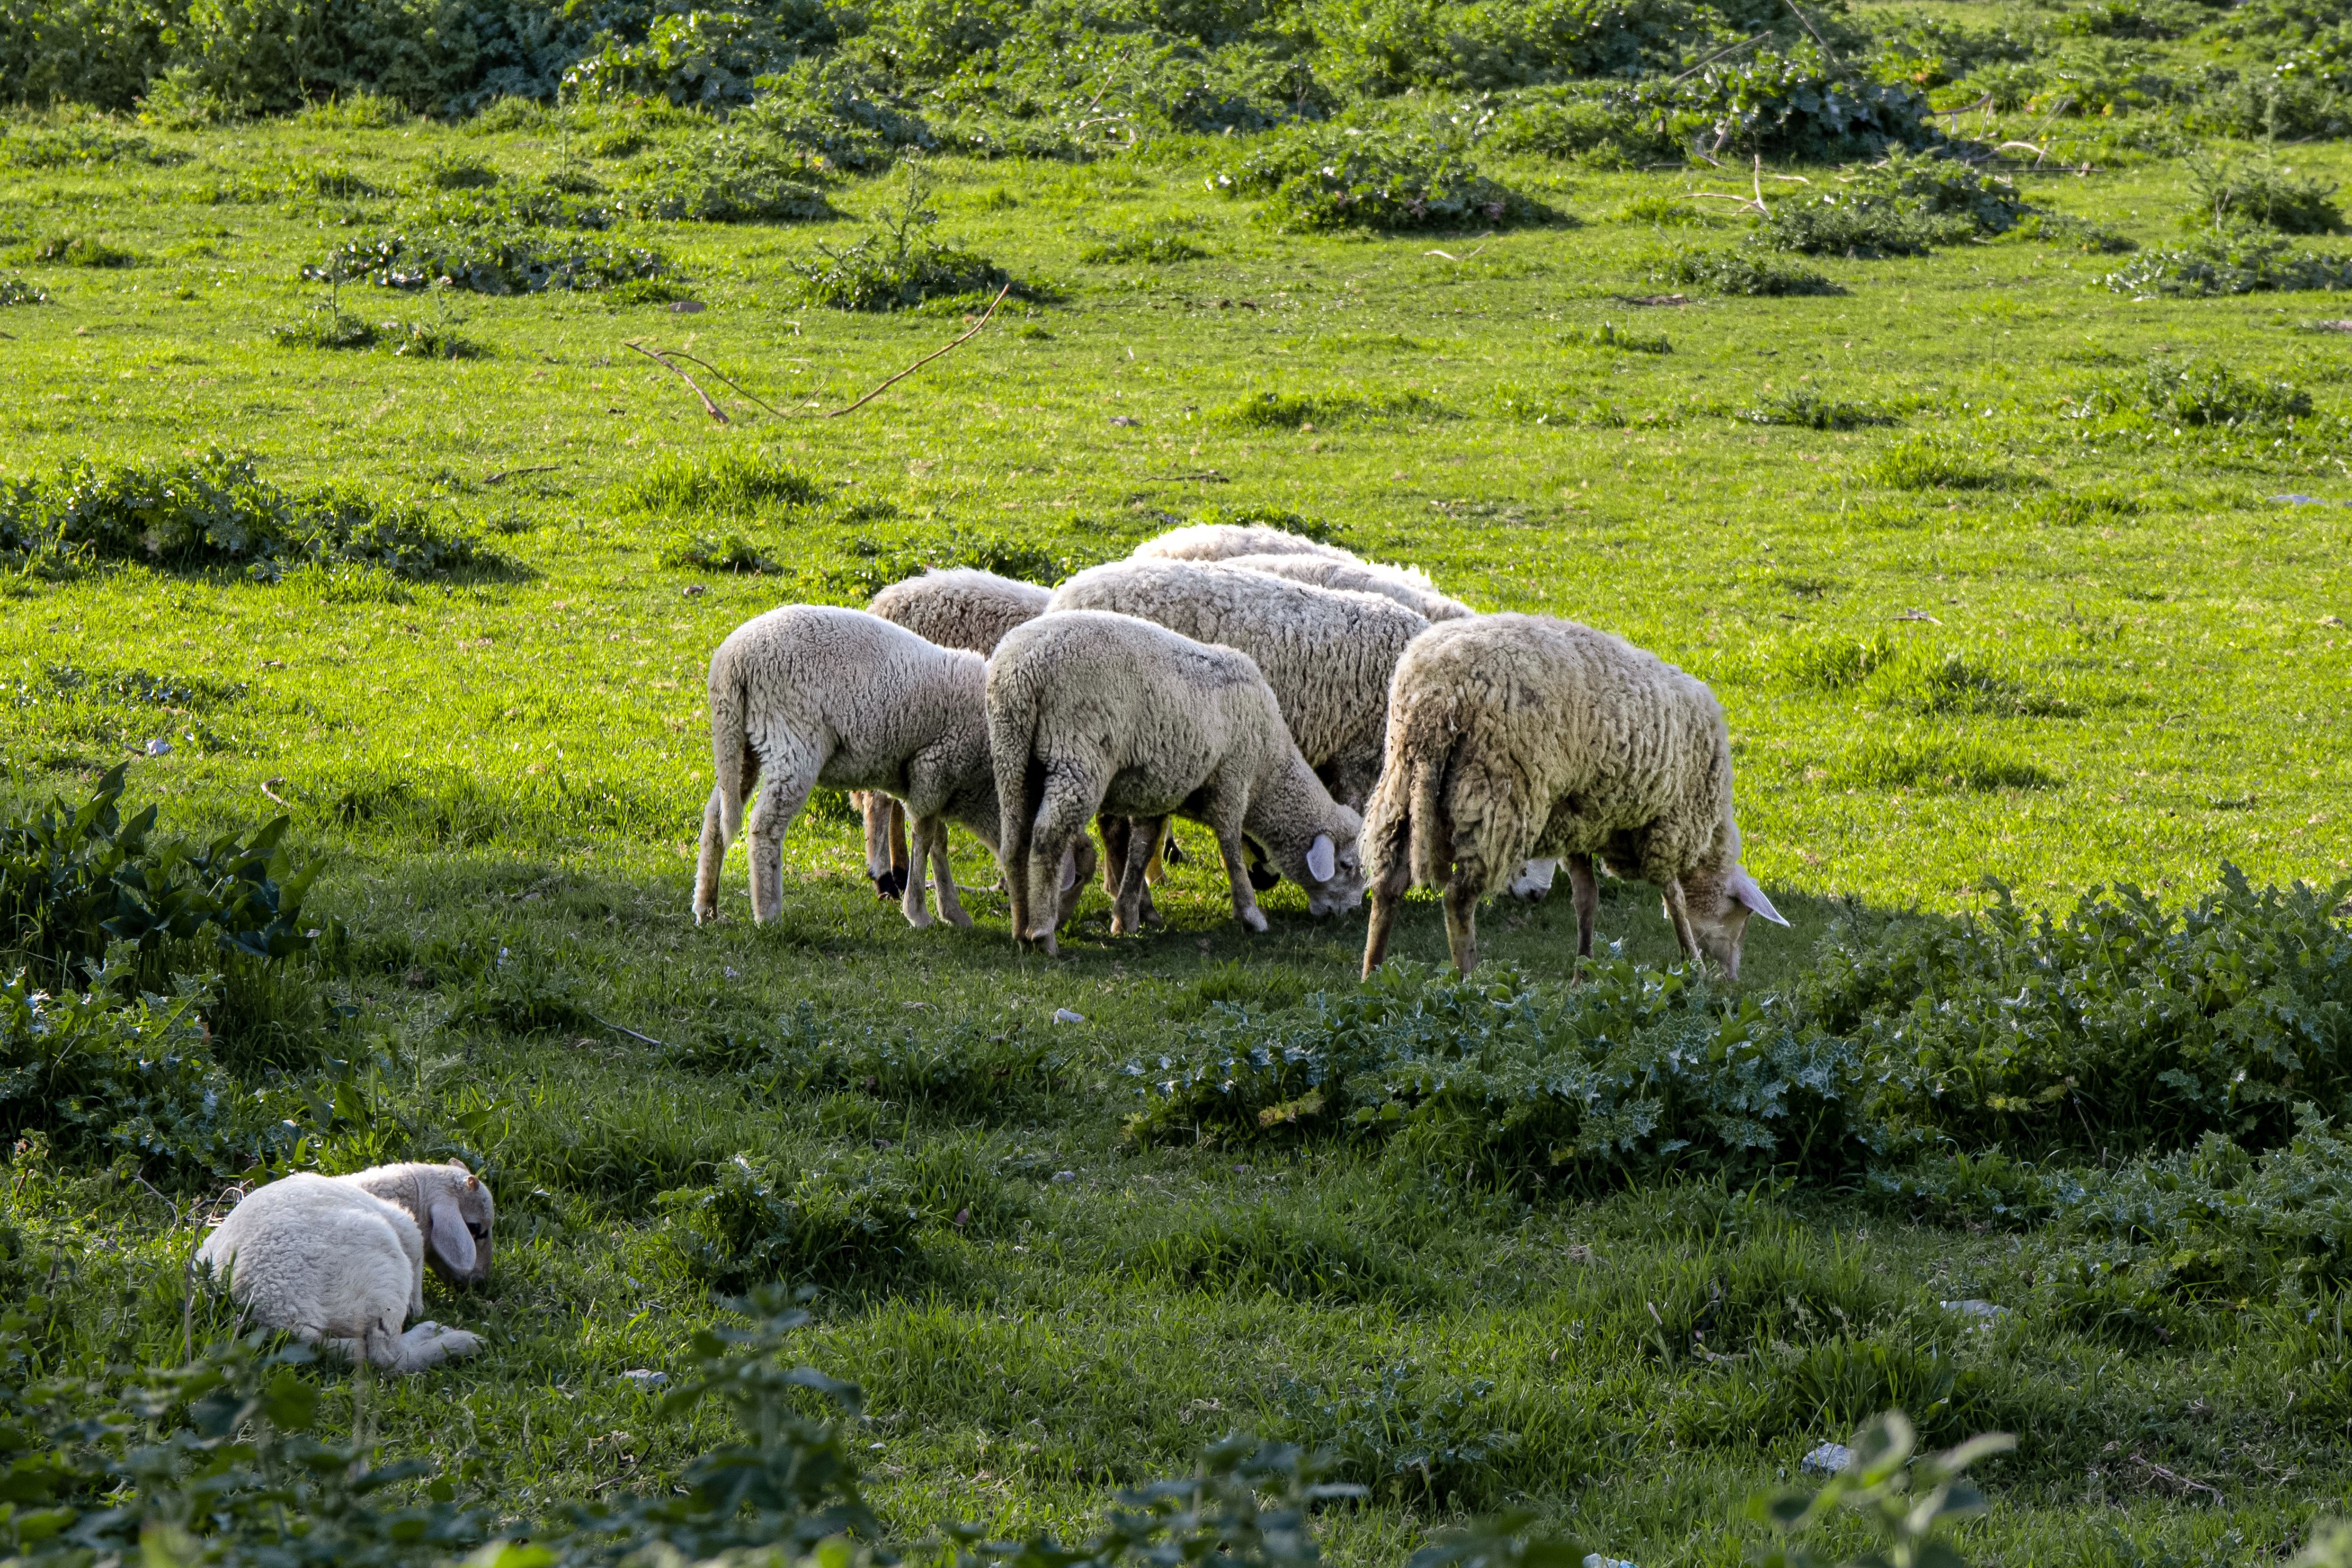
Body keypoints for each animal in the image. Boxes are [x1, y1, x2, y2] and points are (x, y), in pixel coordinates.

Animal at [192, 1160, 493, 1374]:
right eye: (476, 1229)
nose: (480, 1281)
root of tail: (280, 1316)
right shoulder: (409, 1232)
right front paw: (421, 1311)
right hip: (382, 1272)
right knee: (385, 1356)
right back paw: (451, 1339)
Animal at [694, 605, 1090, 932]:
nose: (1056, 930)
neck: (989, 792)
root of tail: (731, 661)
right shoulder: (934, 766)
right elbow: (925, 837)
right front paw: (919, 912)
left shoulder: (935, 780)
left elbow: (938, 841)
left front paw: (951, 911)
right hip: (793, 741)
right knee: (764, 826)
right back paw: (768, 914)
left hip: (743, 742)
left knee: (717, 815)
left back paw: (707, 908)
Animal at [987, 609, 1366, 955]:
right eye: (1346, 866)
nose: (1350, 912)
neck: (1269, 767)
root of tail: (1020, 669)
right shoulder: (1232, 778)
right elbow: (1230, 847)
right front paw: (1250, 915)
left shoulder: (1156, 791)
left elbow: (1142, 849)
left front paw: (1126, 917)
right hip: (1077, 752)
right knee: (1047, 837)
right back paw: (1043, 934)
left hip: (1012, 752)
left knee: (1015, 839)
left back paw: (1020, 928)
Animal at [1358, 613, 1788, 981]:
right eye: (1742, 918)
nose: (1732, 978)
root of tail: (1435, 692)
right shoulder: (1668, 824)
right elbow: (1675, 898)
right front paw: (1693, 965)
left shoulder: (1580, 824)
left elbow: (1587, 898)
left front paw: (1583, 973)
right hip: (1497, 791)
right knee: (1459, 898)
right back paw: (1467, 980)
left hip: (1403, 780)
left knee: (1388, 884)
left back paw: (1372, 977)